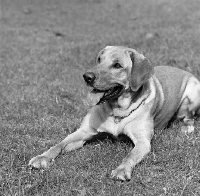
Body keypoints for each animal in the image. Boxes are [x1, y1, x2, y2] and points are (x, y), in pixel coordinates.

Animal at [28, 46, 200, 181]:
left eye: (117, 65)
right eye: (99, 60)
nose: (87, 76)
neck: (116, 110)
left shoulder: (143, 142)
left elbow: (130, 155)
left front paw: (121, 170)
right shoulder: (83, 132)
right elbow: (59, 144)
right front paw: (42, 157)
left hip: (193, 92)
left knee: (189, 116)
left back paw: (187, 127)